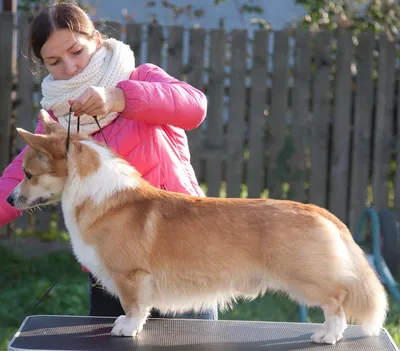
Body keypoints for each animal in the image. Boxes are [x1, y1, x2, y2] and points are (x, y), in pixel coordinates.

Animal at [6, 109, 388, 344]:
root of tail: (320, 211)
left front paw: (126, 329)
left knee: (337, 301)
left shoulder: (132, 277)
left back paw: (328, 335)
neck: (94, 191)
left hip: (306, 278)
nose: (9, 199)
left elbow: (134, 308)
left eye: (28, 174)